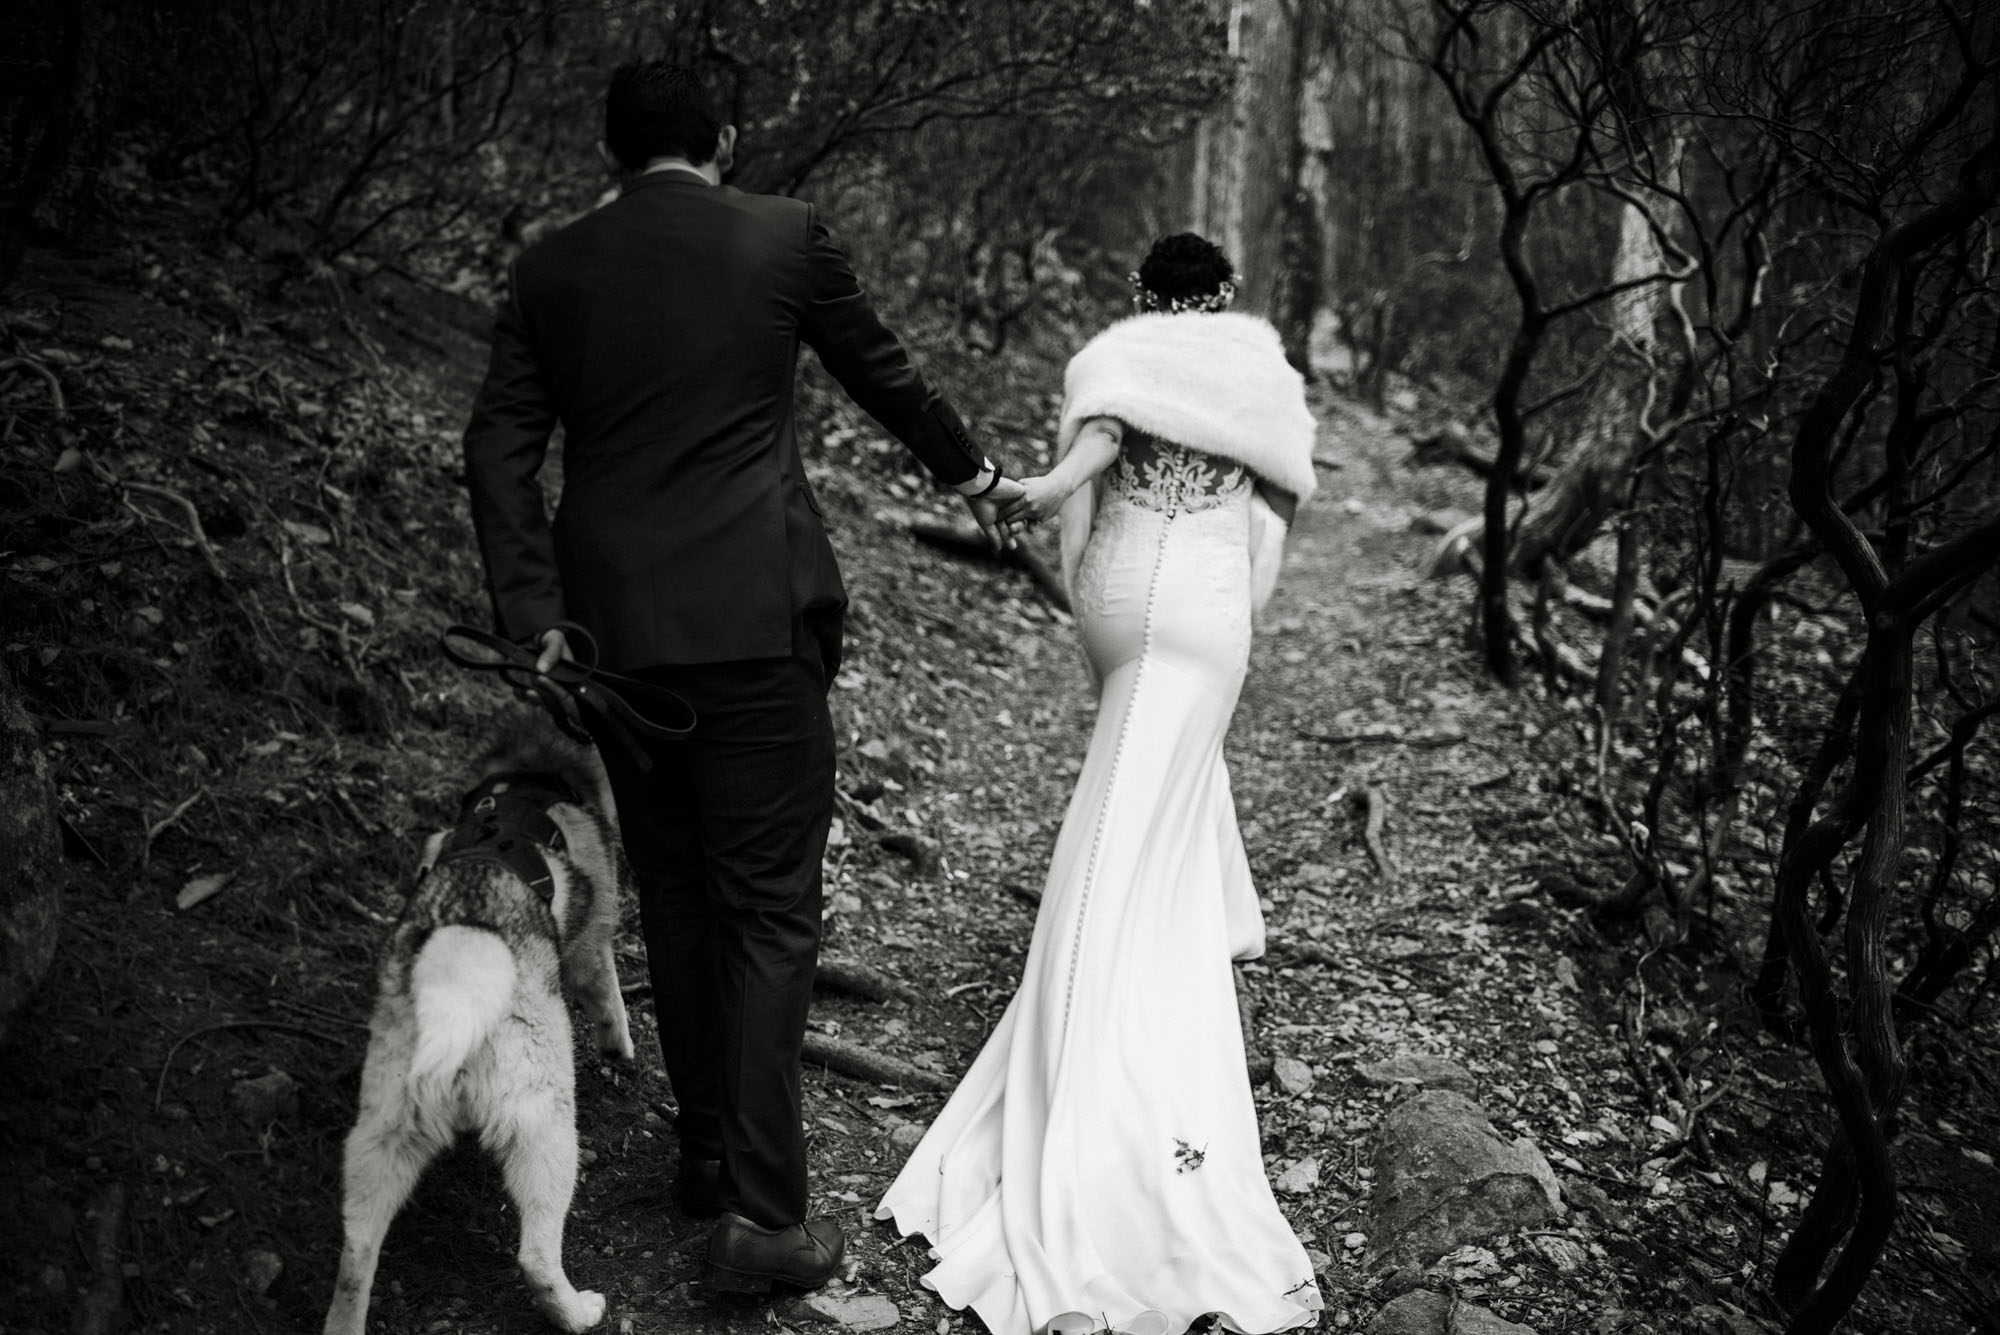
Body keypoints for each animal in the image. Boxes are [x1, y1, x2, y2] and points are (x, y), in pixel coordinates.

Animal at [324, 719, 632, 1335]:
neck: (532, 772)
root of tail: (461, 985)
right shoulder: (592, 948)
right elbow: (608, 996)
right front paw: (621, 1046)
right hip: (544, 1123)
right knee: (536, 1257)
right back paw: (577, 1311)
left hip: (380, 1136)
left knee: (355, 1260)